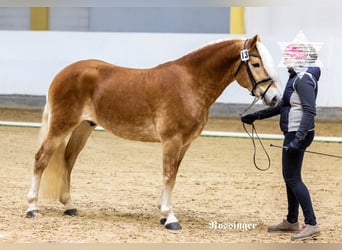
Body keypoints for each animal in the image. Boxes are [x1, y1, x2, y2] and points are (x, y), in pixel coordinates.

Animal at [24, 34, 280, 230]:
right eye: (256, 64)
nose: (275, 97)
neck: (190, 83)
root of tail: (63, 73)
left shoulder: (184, 143)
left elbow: (173, 174)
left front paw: (163, 214)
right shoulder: (172, 140)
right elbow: (168, 175)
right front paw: (170, 217)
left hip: (82, 128)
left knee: (68, 160)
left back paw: (69, 206)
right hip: (61, 126)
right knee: (41, 159)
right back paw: (32, 208)